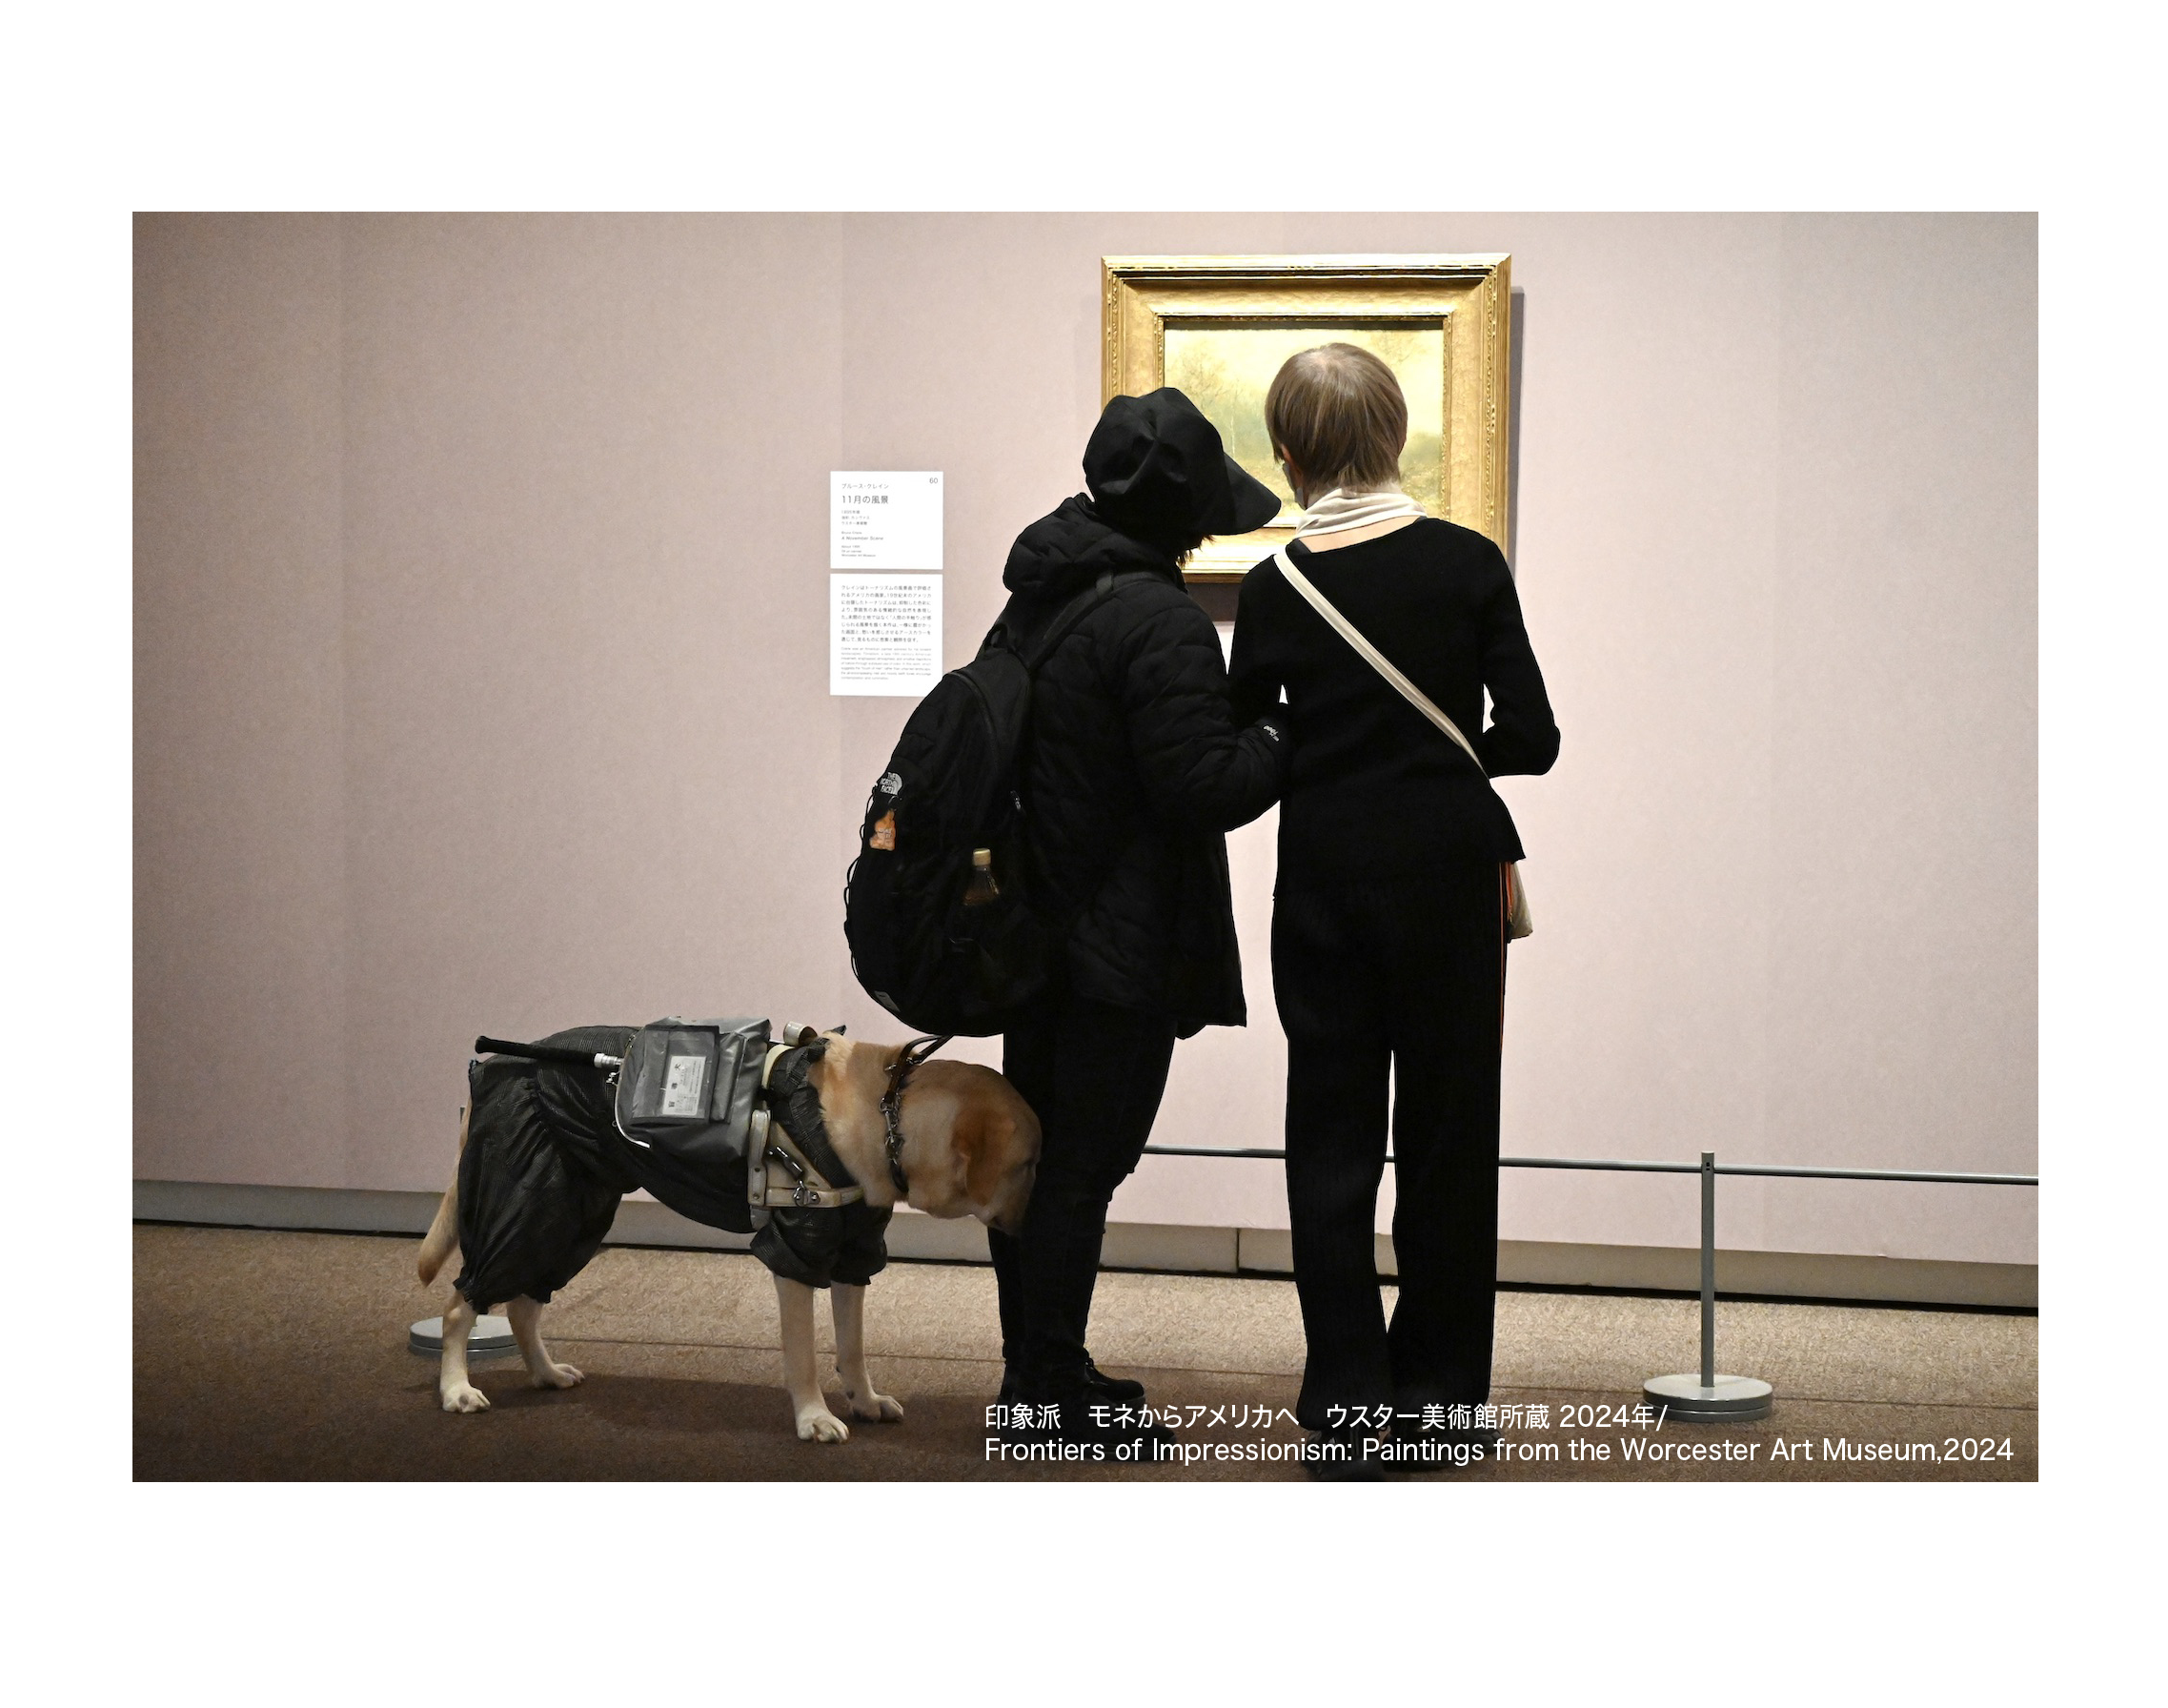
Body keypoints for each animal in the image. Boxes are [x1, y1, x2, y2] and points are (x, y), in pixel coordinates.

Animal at [418, 1036, 1044, 1448]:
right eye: (1027, 1166)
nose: (1031, 1230)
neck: (884, 1115)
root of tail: (499, 1062)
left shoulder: (852, 1255)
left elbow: (852, 1348)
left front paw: (864, 1402)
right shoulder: (796, 1253)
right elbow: (805, 1357)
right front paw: (813, 1417)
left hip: (567, 1217)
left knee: (522, 1305)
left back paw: (546, 1374)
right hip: (521, 1208)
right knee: (461, 1303)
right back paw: (456, 1389)